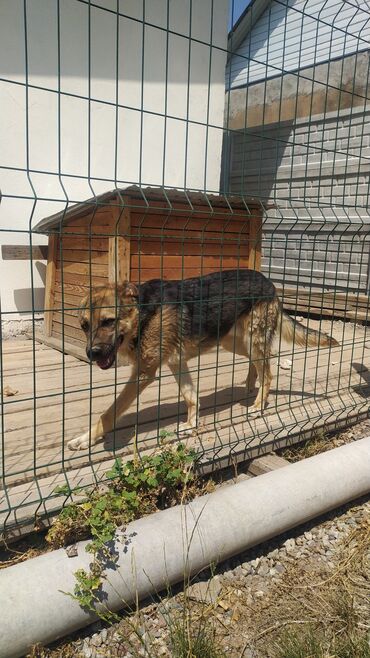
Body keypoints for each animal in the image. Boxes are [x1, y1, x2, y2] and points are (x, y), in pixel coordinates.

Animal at [66, 268, 338, 452]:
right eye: (84, 326)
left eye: (108, 321)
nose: (92, 353)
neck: (143, 315)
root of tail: (269, 282)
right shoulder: (176, 363)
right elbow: (191, 396)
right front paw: (191, 424)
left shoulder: (143, 373)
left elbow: (109, 412)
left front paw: (85, 439)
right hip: (234, 342)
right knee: (262, 362)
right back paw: (251, 385)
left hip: (251, 340)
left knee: (269, 370)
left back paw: (259, 405)